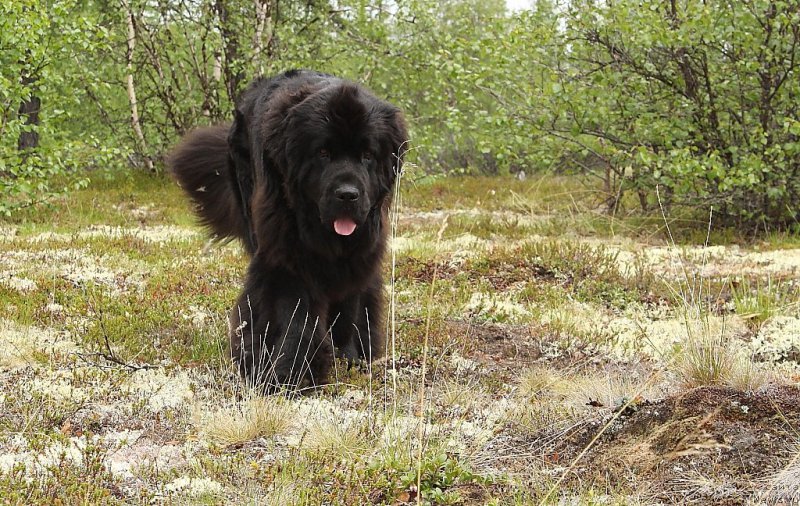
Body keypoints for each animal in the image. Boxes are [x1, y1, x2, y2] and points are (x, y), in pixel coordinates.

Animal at [168, 69, 406, 390]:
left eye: (368, 154)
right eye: (323, 152)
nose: (347, 194)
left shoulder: (358, 257)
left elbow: (349, 307)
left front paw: (348, 358)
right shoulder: (285, 257)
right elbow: (292, 314)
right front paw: (286, 372)